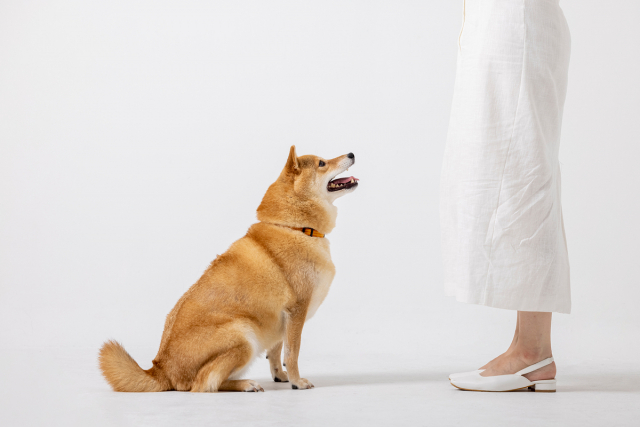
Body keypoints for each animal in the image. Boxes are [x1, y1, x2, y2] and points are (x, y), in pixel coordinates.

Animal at [100, 145, 360, 392]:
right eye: (322, 163)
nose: (351, 153)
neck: (294, 227)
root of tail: (161, 370)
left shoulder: (281, 319)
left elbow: (277, 352)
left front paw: (281, 376)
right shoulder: (296, 311)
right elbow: (292, 353)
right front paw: (297, 382)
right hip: (243, 335)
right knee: (205, 384)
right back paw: (245, 384)